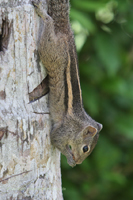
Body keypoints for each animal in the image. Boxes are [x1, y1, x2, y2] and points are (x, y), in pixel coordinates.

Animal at [31, 0, 103, 167]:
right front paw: (70, 159)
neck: (79, 126)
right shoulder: (64, 131)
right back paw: (44, 14)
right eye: (85, 148)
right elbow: (55, 139)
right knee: (49, 25)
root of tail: (66, 32)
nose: (78, 162)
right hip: (51, 50)